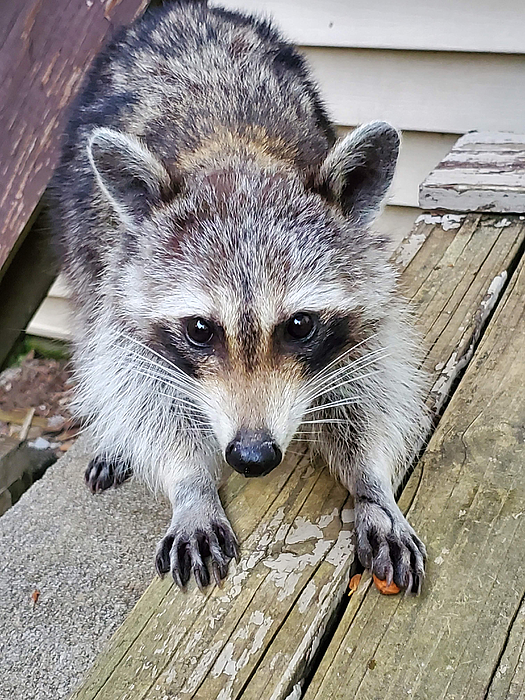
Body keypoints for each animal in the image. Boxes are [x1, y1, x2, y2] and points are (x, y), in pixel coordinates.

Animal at [53, 0, 430, 592]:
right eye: (200, 329)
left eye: (299, 325)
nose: (252, 456)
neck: (236, 154)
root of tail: (177, 10)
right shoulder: (126, 284)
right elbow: (144, 392)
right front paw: (190, 485)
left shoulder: (365, 306)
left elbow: (368, 389)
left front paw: (372, 482)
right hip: (85, 231)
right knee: (98, 345)